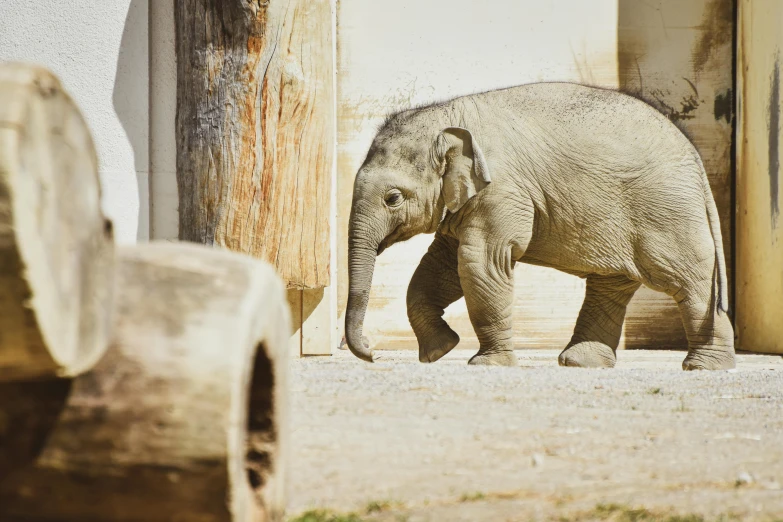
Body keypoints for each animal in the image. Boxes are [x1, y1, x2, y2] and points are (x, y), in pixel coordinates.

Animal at [344, 81, 736, 368]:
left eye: (393, 198)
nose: (371, 352)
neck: (448, 115)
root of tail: (695, 158)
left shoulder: (503, 190)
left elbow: (480, 262)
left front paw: (486, 364)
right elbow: (439, 266)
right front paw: (439, 351)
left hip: (667, 210)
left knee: (689, 280)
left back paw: (704, 366)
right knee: (611, 283)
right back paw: (580, 363)